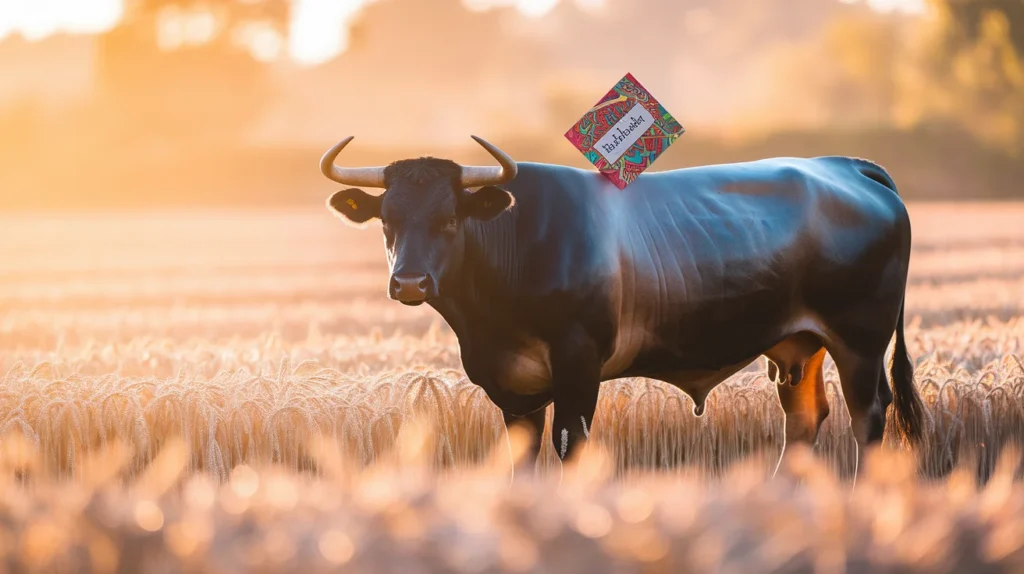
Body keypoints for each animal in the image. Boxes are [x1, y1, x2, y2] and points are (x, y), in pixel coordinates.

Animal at [319, 135, 926, 470]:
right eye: (387, 221)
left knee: (868, 418)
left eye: (450, 219)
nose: (410, 283)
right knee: (803, 417)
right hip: (797, 345)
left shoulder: (578, 364)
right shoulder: (512, 389)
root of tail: (842, 165)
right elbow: (521, 457)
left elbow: (571, 445)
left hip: (859, 342)